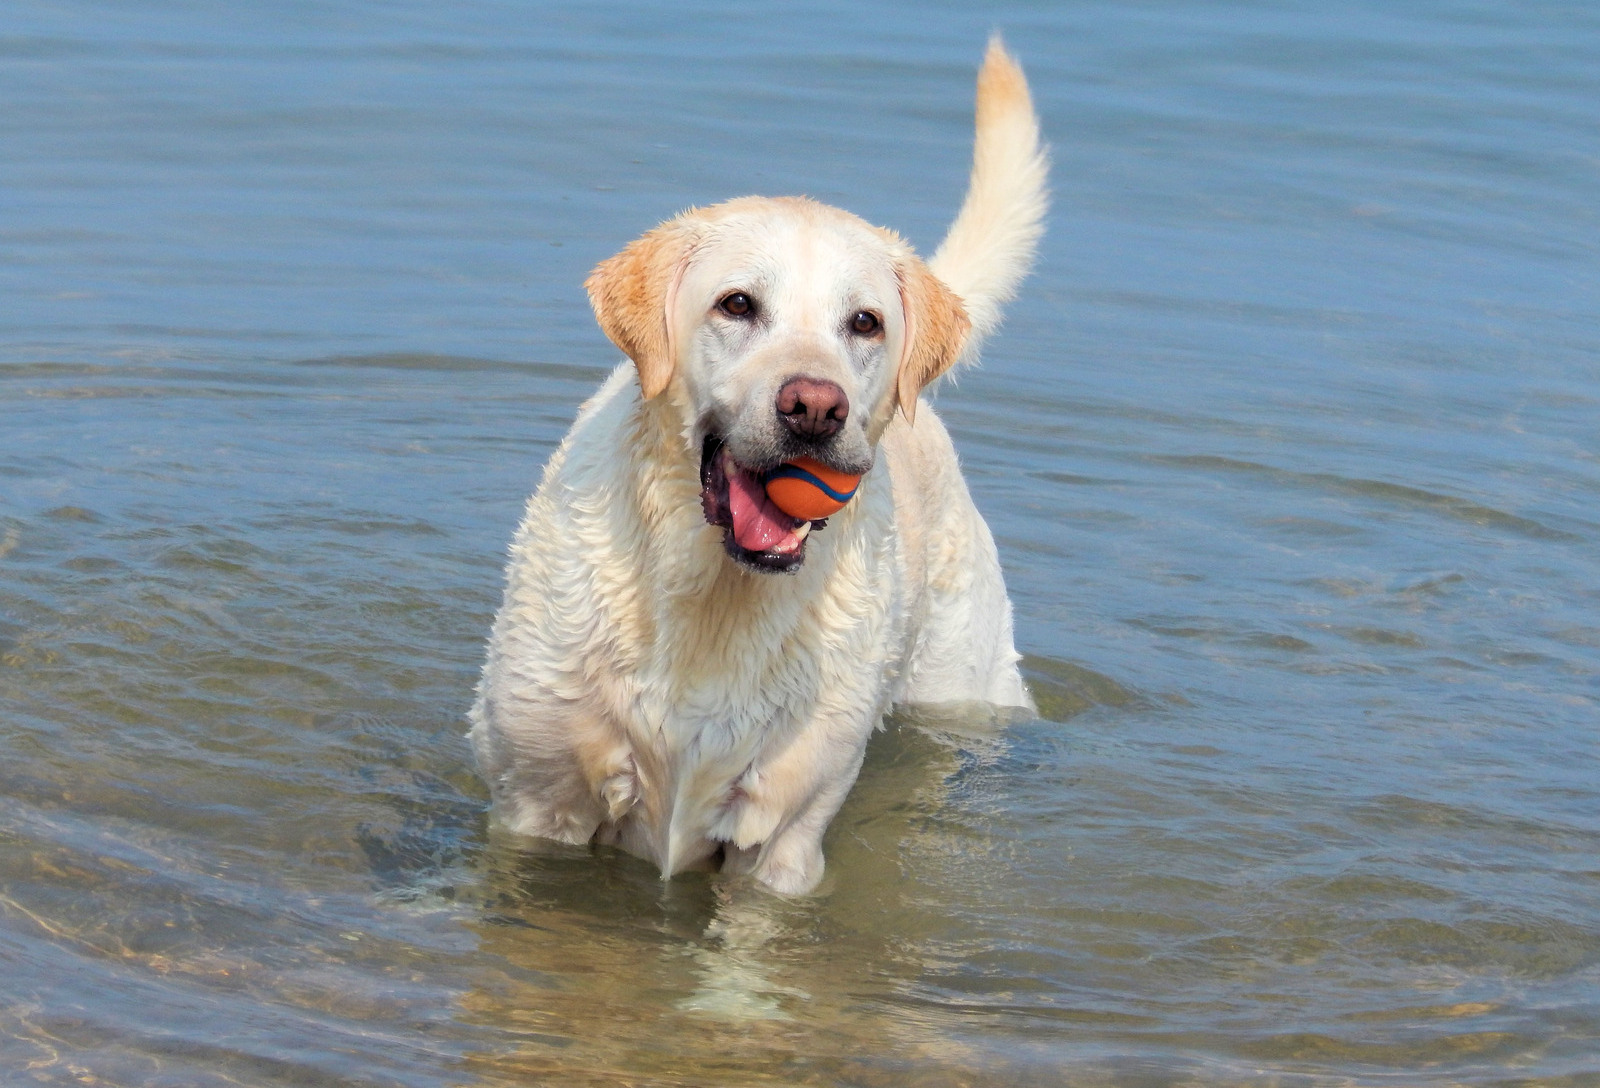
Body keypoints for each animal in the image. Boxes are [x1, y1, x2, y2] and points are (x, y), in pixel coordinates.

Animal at [467, 40, 1049, 889]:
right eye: (737, 305)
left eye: (865, 322)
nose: (815, 407)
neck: (714, 596)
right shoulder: (536, 804)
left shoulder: (781, 847)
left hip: (961, 684)